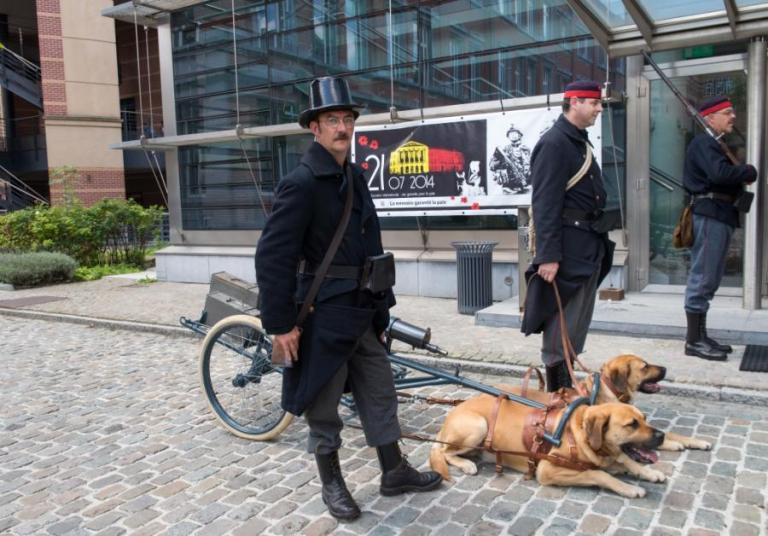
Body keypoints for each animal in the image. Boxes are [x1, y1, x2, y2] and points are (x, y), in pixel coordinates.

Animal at [428, 400, 668, 496]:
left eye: (644, 419)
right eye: (632, 424)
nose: (662, 435)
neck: (580, 432)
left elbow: (626, 461)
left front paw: (650, 473)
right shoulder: (547, 470)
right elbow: (599, 474)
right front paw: (629, 488)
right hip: (478, 425)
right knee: (443, 452)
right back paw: (466, 464)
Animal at [496, 356, 712, 452]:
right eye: (644, 367)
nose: (666, 369)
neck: (610, 390)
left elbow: (671, 433)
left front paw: (697, 441)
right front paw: (673, 444)